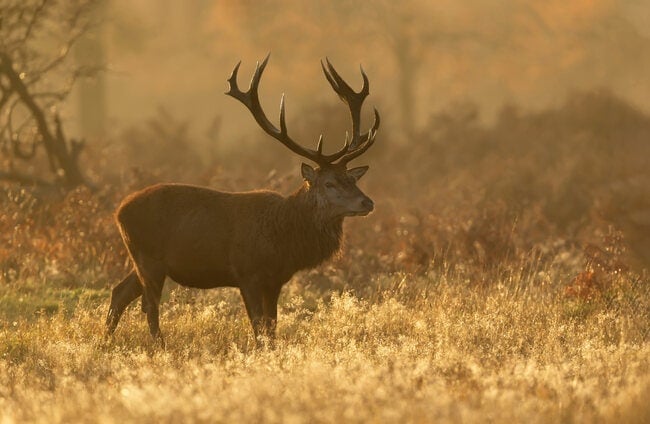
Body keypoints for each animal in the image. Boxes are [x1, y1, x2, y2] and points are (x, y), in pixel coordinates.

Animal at [105, 56, 380, 346]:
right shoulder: (247, 273)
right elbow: (258, 326)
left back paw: (106, 341)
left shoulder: (275, 280)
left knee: (119, 292)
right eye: (329, 183)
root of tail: (119, 210)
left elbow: (271, 327)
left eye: (352, 180)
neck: (285, 239)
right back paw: (159, 346)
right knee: (150, 305)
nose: (367, 203)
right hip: (148, 259)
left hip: (142, 261)